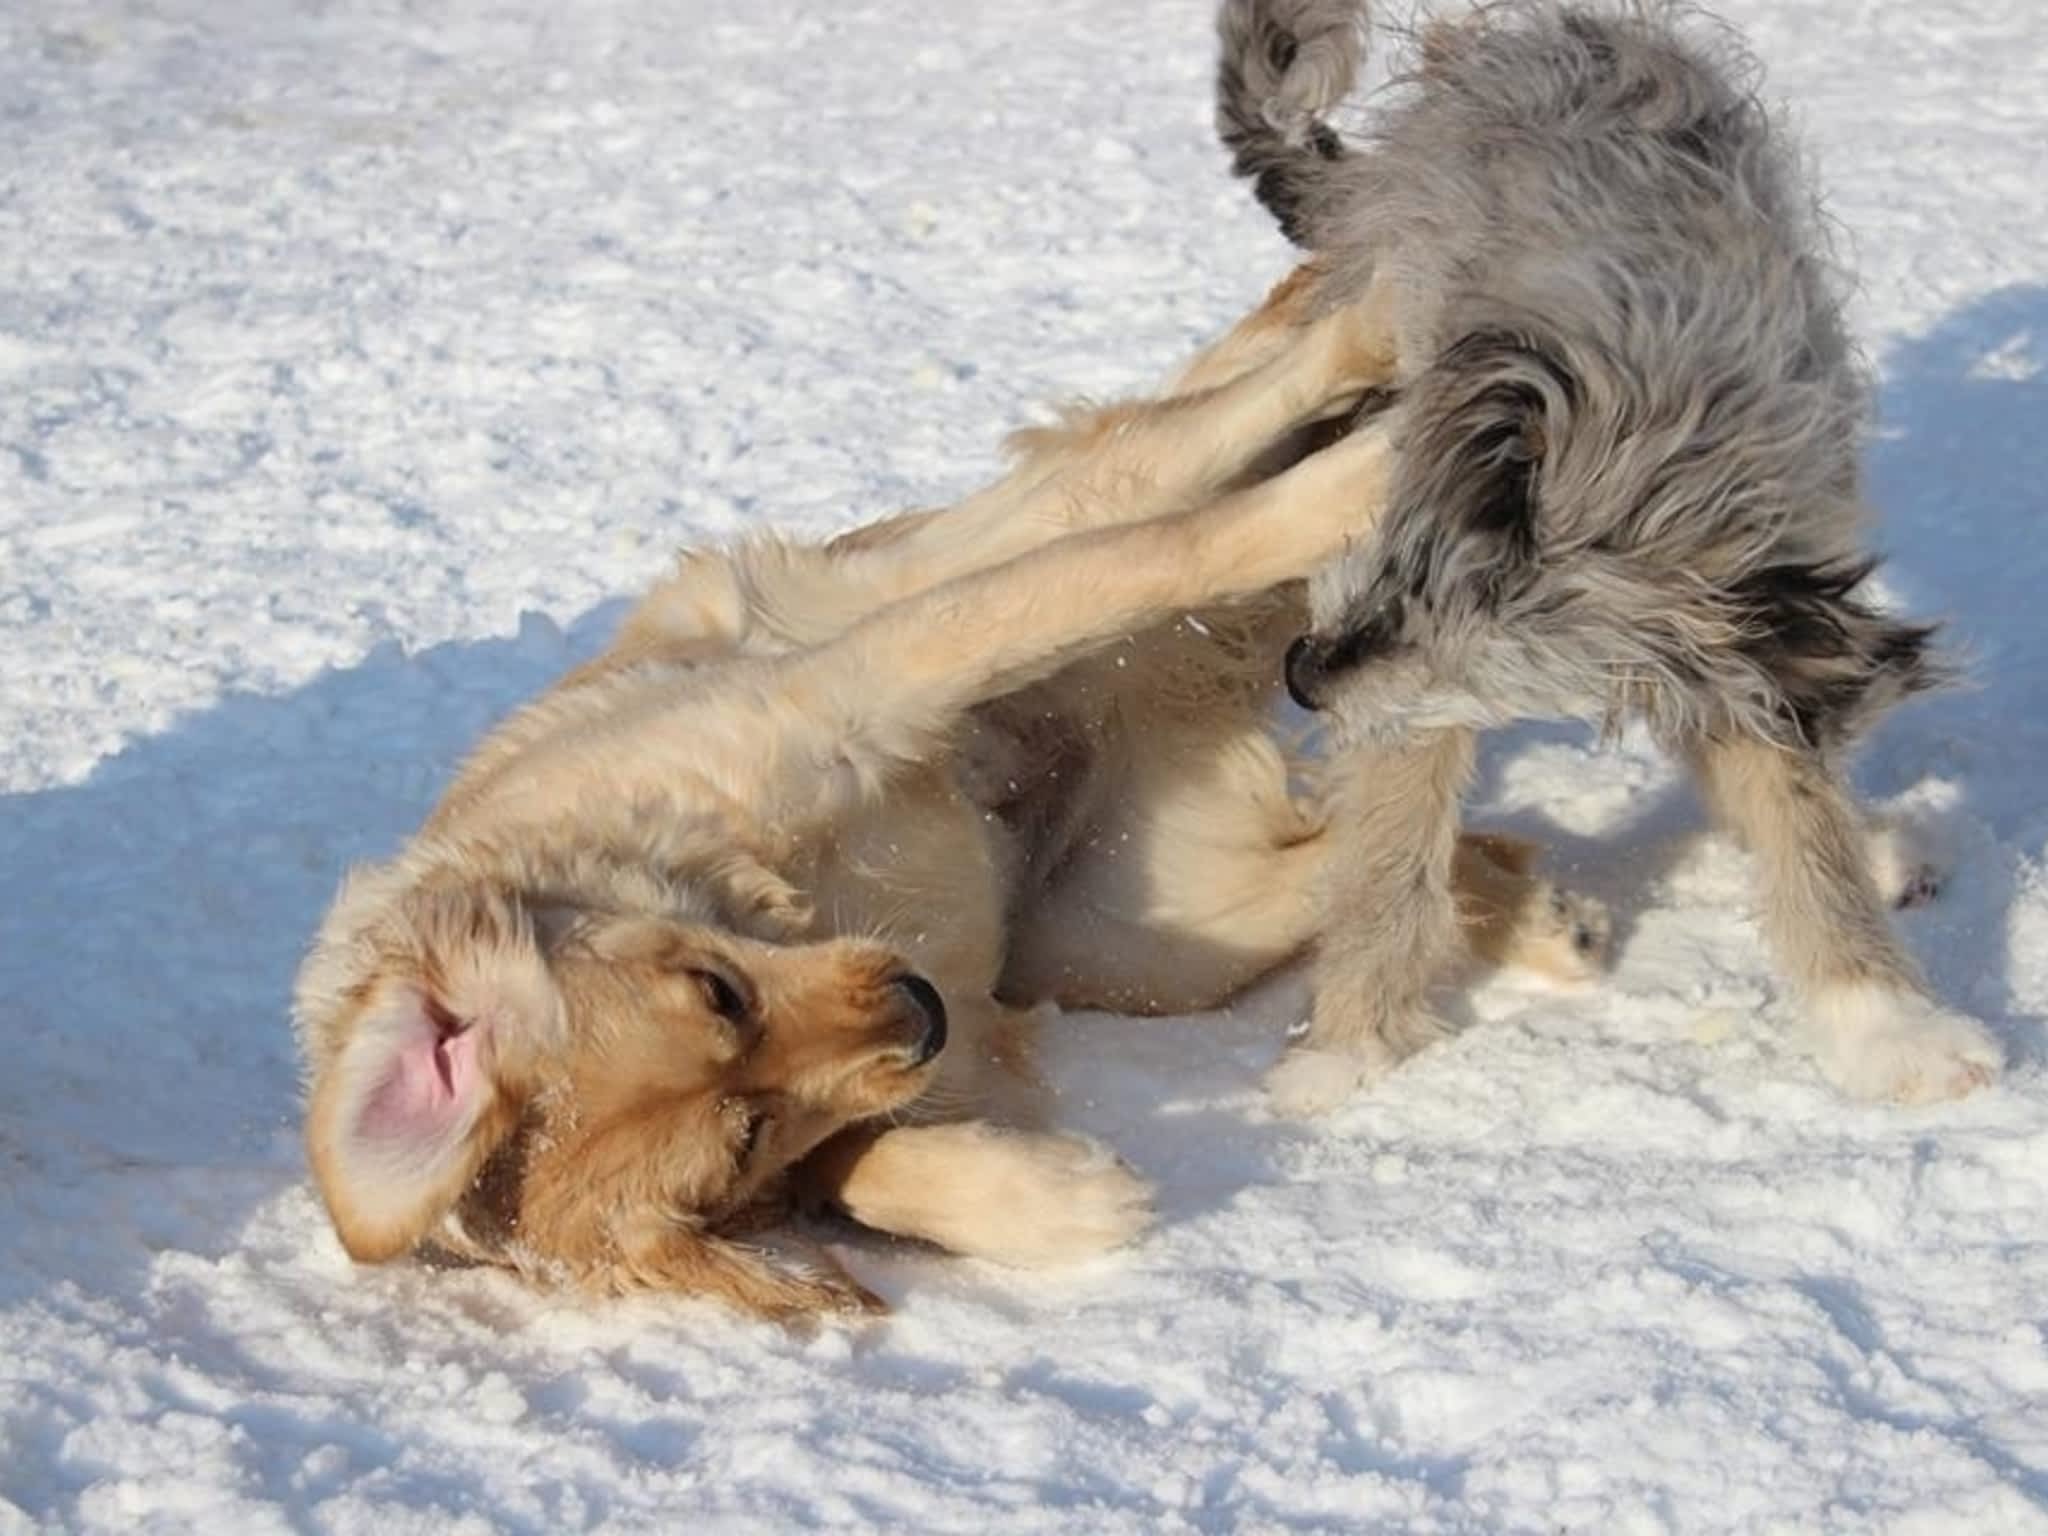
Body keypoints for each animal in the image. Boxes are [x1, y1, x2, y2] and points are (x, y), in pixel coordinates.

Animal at [1212, 0, 1998, 1114]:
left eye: (1502, 663)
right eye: (1403, 555)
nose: (1301, 674)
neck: (1668, 401)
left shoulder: (1752, 629)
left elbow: (1798, 814)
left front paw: (1887, 1025)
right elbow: (1391, 839)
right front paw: (1350, 1047)